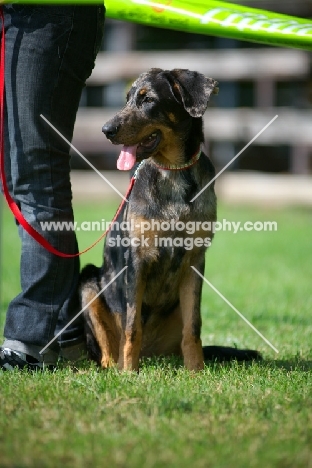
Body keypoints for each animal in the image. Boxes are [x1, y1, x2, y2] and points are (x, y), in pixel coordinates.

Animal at [80, 67, 260, 372]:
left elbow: (193, 327)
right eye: (127, 99)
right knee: (108, 349)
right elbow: (132, 326)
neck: (173, 171)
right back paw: (116, 366)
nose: (106, 130)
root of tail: (153, 355)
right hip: (89, 283)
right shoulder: (137, 259)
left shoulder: (195, 261)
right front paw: (129, 373)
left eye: (148, 100)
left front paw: (196, 372)